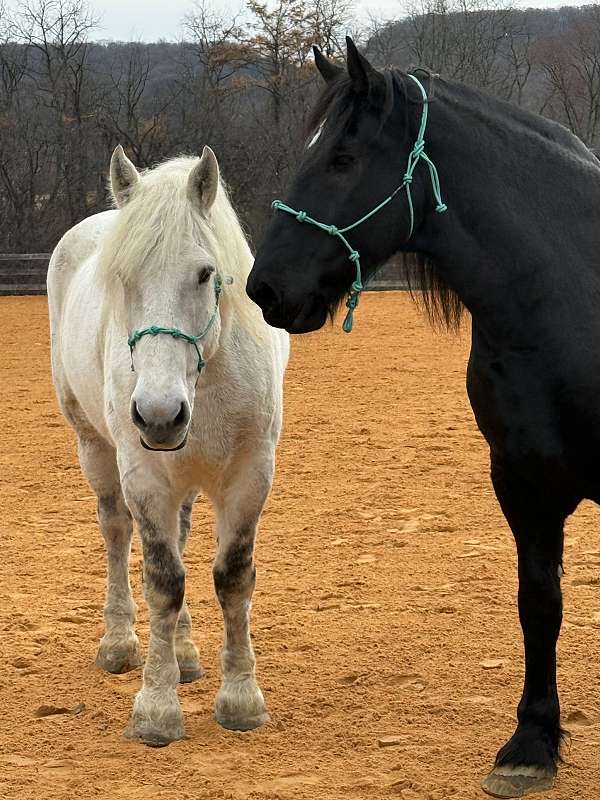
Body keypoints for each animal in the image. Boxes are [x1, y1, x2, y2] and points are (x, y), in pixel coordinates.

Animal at [48, 145, 289, 746]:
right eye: (121, 277)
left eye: (205, 274)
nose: (159, 414)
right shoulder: (145, 477)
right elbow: (162, 579)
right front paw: (156, 707)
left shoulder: (250, 475)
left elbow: (233, 577)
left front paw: (240, 698)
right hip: (94, 446)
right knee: (116, 532)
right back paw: (120, 643)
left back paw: (183, 651)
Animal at [246, 36, 600, 798]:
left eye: (342, 158)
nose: (266, 288)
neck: (573, 298)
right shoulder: (522, 483)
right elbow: (539, 604)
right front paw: (531, 743)